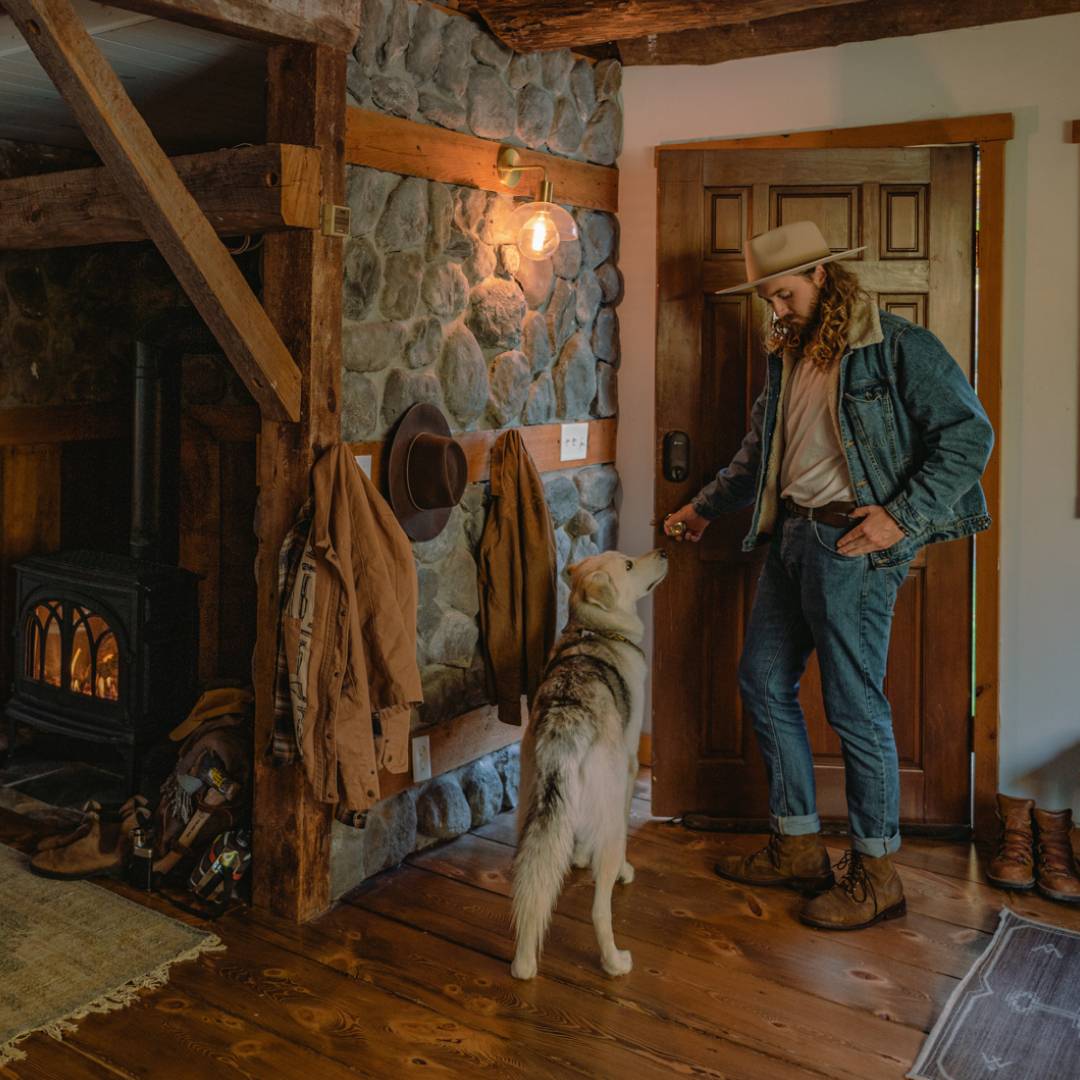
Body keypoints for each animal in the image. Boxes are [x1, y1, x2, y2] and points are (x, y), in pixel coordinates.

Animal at [507, 548, 665, 980]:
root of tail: (565, 721)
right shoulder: (629, 766)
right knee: (599, 910)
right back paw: (615, 962)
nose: (664, 550)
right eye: (628, 565)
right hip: (608, 826)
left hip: (530, 815)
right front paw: (623, 868)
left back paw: (523, 964)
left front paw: (576, 855)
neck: (595, 629)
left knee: (532, 881)